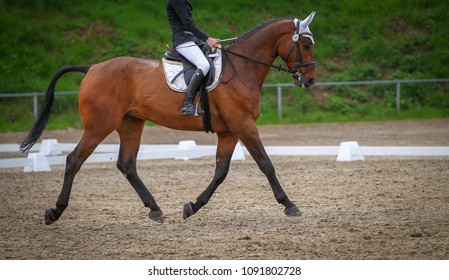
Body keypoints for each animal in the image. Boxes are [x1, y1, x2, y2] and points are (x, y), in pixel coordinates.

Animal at [20, 13, 316, 224]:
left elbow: (220, 172)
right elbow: (266, 164)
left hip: (130, 124)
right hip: (99, 127)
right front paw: (290, 205)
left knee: (126, 164)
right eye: (304, 44)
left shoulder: (230, 131)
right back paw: (55, 211)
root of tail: (92, 68)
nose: (310, 80)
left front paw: (192, 207)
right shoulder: (244, 126)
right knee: (74, 160)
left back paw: (154, 209)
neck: (241, 68)